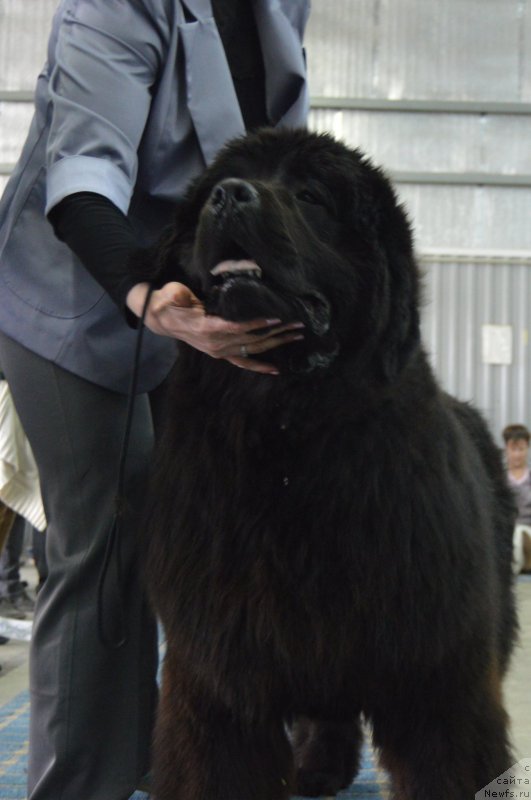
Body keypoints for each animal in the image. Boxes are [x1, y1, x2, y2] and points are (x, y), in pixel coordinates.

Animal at [139, 130, 516, 800]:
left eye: (311, 196)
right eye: (211, 192)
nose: (228, 196)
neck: (288, 431)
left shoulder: (435, 668)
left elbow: (449, 760)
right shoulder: (221, 670)